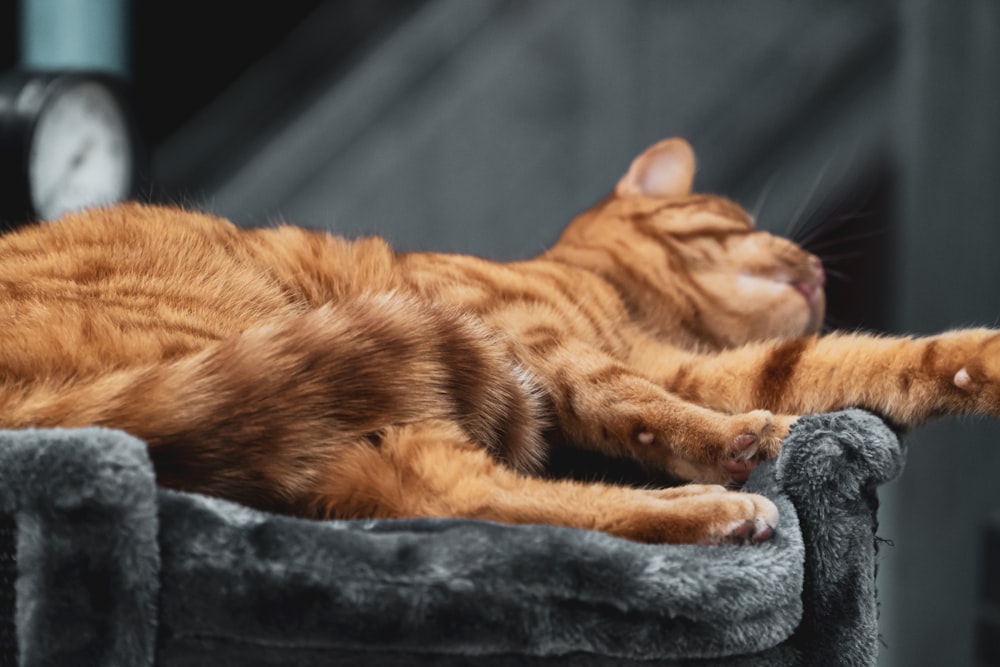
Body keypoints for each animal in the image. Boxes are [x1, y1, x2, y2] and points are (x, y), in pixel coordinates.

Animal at [1, 138, 1000, 544]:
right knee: (456, 491)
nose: (819, 266)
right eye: (739, 219)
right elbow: (641, 402)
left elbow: (874, 360)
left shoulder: (702, 362)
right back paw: (713, 508)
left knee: (445, 500)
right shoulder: (537, 342)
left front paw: (976, 359)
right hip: (305, 351)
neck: (636, 310)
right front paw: (730, 442)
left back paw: (705, 512)